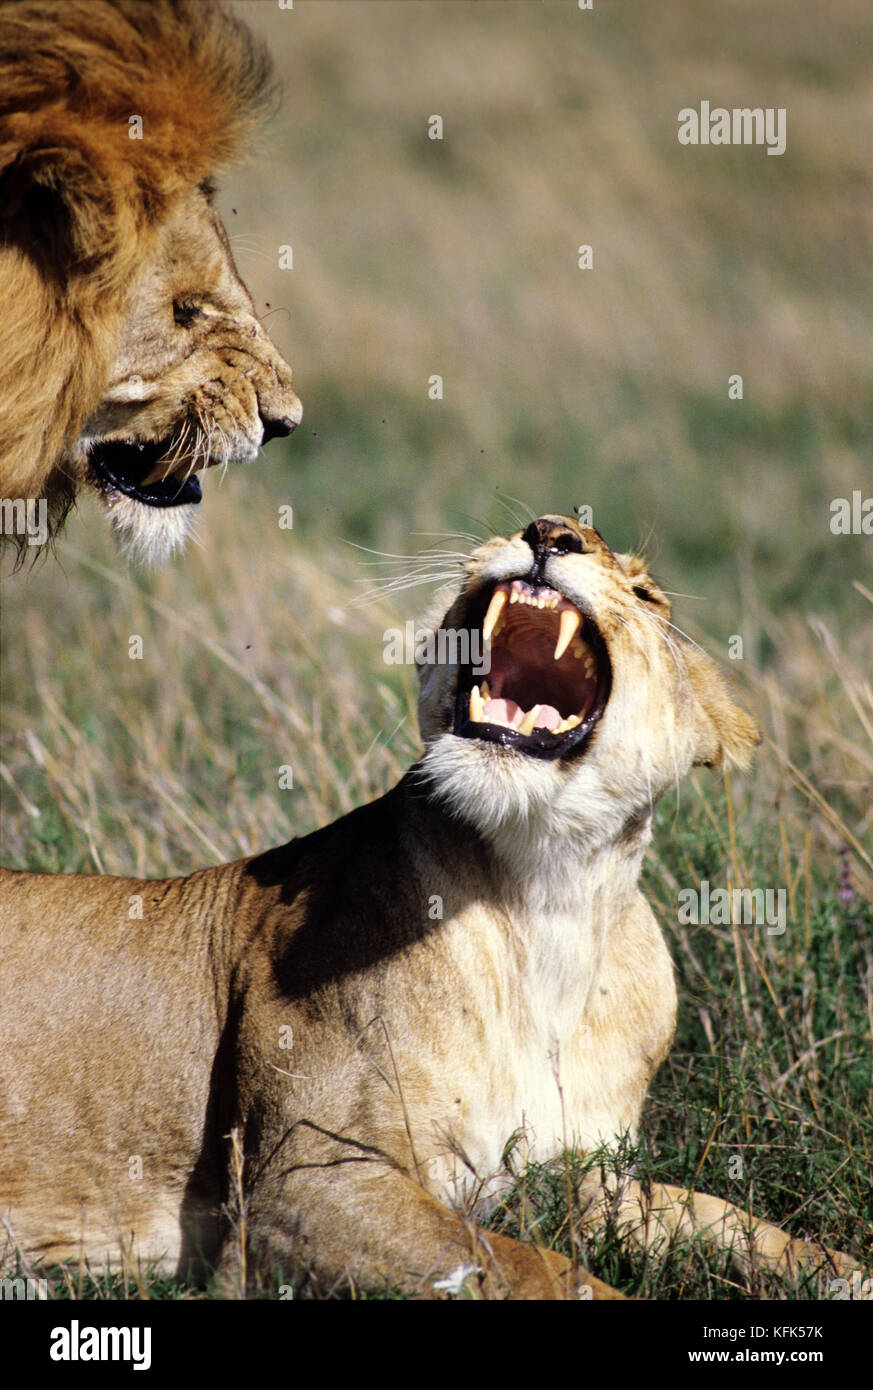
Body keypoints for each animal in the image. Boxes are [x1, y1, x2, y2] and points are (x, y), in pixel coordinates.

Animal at [0, 516, 863, 1299]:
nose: (550, 530)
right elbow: (531, 1266)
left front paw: (839, 1271)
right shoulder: (302, 1181)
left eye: (649, 595)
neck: (546, 901)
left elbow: (718, 1216)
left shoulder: (588, 1181)